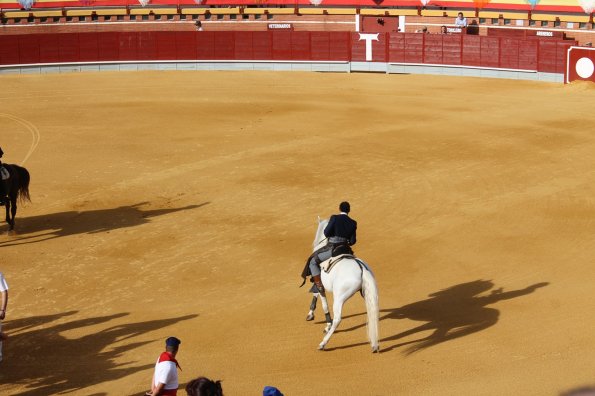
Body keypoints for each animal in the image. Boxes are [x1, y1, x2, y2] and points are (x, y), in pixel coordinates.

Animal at [310, 218, 380, 352]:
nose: (314, 243)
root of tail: (361, 267)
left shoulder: (318, 280)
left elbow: (320, 297)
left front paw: (320, 319)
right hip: (367, 293)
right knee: (371, 313)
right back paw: (375, 344)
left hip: (339, 297)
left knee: (338, 319)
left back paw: (323, 343)